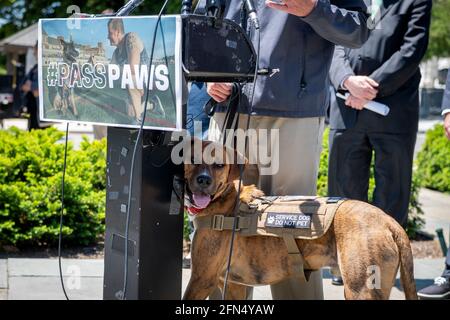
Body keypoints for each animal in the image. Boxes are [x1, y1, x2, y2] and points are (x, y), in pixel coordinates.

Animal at [181, 141, 416, 300]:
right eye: (192, 160)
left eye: (219, 165)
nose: (204, 180)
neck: (225, 201)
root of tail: (388, 221)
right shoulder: (232, 285)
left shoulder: (202, 278)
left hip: (361, 289)